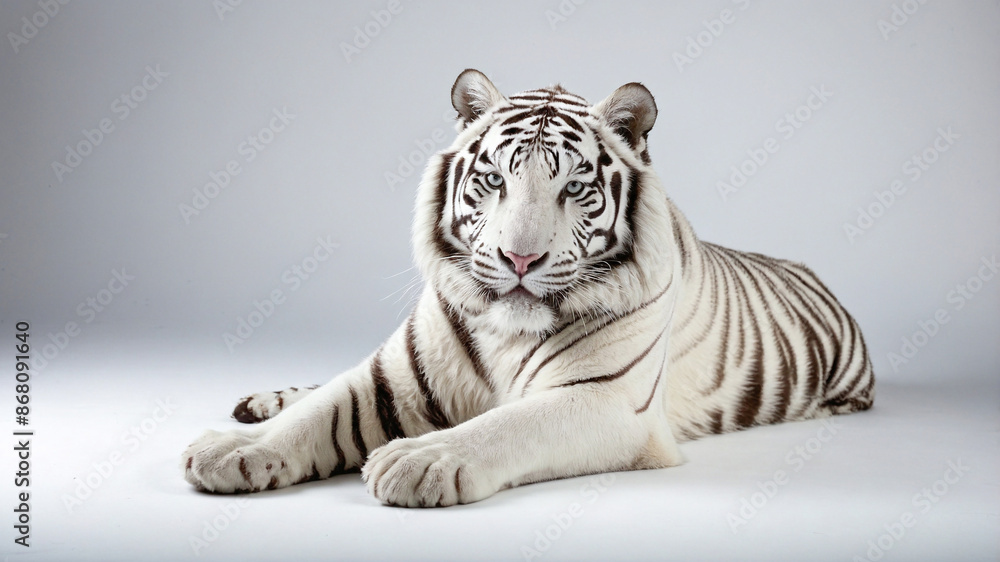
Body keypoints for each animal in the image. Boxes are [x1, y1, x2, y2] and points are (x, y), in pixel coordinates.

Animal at [182, 69, 874, 507]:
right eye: (494, 179)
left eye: (575, 187)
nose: (520, 257)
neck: (505, 330)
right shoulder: (391, 378)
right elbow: (318, 412)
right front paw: (235, 449)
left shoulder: (606, 399)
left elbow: (506, 425)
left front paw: (418, 459)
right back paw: (259, 404)